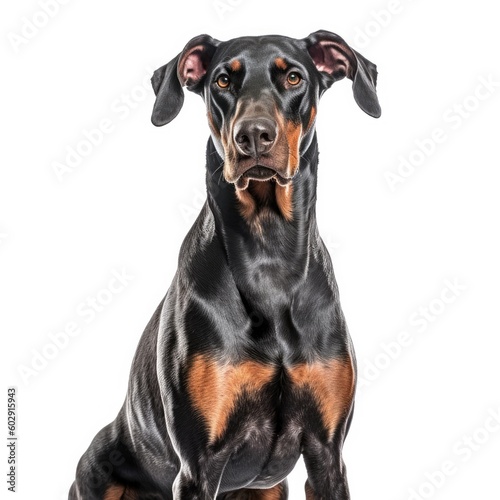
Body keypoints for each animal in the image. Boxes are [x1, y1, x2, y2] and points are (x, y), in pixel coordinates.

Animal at [68, 28, 380, 500]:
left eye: (293, 77)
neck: (269, 255)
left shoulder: (328, 453)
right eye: (222, 81)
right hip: (96, 467)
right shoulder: (199, 464)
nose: (253, 135)